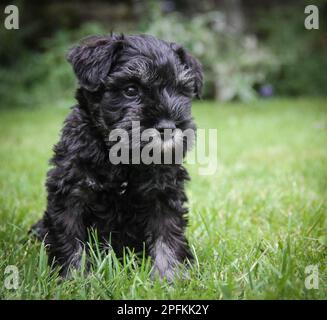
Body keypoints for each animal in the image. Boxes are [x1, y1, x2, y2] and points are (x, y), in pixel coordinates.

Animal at [32, 33, 204, 282]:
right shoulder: (70, 194)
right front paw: (74, 279)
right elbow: (70, 240)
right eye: (131, 90)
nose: (168, 127)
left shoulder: (163, 194)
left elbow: (168, 238)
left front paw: (170, 277)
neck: (123, 159)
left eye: (180, 90)